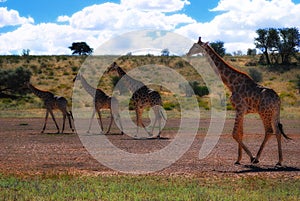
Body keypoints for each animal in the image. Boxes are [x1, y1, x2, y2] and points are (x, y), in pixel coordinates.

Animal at [186, 37, 292, 166]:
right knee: (277, 131)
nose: (188, 53)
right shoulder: (241, 111)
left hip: (264, 112)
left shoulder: (240, 108)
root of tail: (278, 99)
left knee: (269, 131)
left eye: (196, 46)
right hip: (274, 113)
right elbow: (240, 133)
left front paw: (250, 157)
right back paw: (279, 161)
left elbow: (234, 133)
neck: (231, 84)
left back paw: (257, 158)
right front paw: (238, 159)